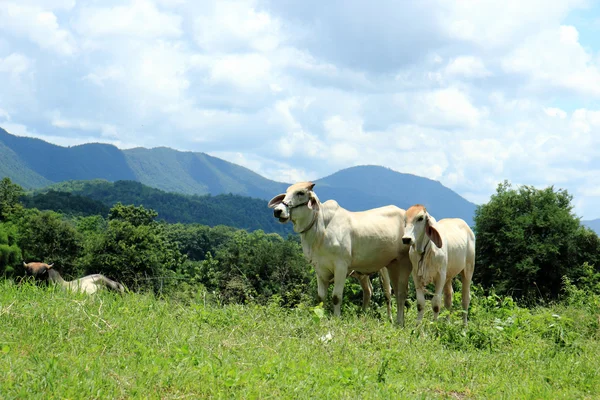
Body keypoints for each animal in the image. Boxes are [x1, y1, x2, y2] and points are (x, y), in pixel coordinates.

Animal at [268, 183, 412, 326]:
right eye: (286, 192)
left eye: (300, 193)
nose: (277, 211)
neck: (321, 230)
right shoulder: (319, 268)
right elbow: (321, 297)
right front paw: (321, 316)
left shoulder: (341, 266)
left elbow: (336, 297)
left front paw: (336, 318)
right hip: (380, 269)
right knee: (373, 291)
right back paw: (365, 315)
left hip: (392, 266)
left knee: (392, 293)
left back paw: (394, 320)